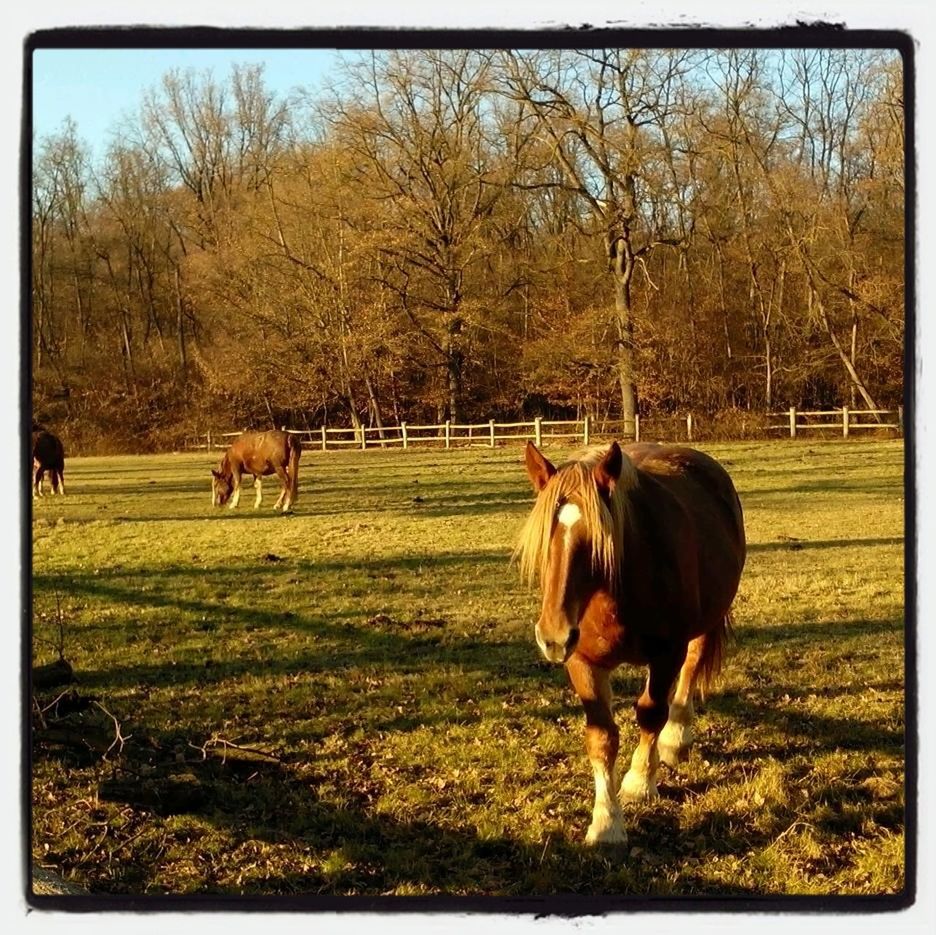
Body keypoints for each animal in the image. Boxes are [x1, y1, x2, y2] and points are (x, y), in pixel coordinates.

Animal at [516, 442, 744, 844]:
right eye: (545, 539)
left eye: (595, 541)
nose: (553, 637)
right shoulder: (582, 661)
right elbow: (602, 737)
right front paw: (606, 822)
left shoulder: (666, 654)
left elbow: (651, 713)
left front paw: (639, 782)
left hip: (704, 624)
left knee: (690, 670)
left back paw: (676, 738)